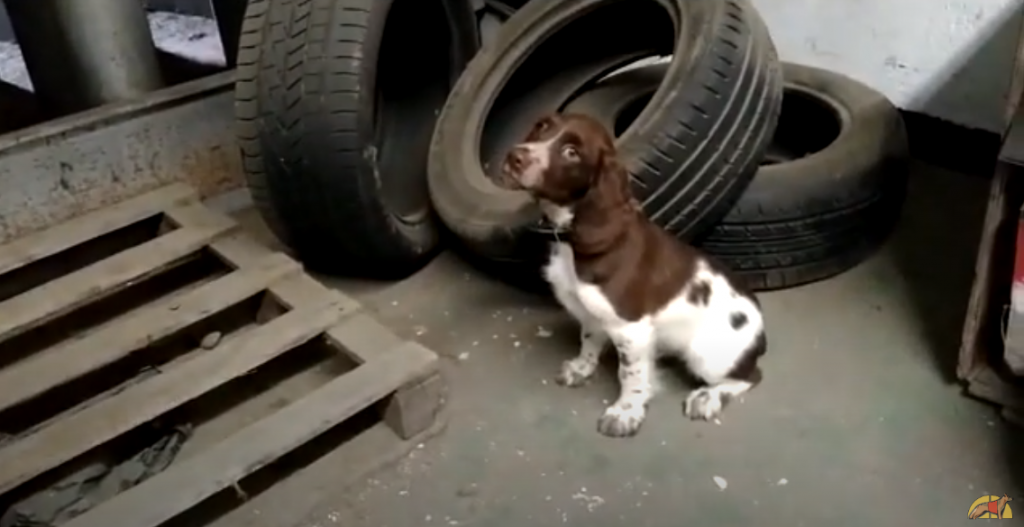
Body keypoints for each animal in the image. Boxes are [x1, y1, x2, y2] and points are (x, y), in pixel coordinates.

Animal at [495, 114, 770, 437]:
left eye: (571, 152)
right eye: (542, 126)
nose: (515, 157)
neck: (571, 242)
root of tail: (760, 330)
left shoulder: (630, 329)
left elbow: (630, 374)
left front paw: (625, 412)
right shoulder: (592, 314)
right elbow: (589, 341)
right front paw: (582, 368)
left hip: (705, 355)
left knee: (750, 376)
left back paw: (707, 396)